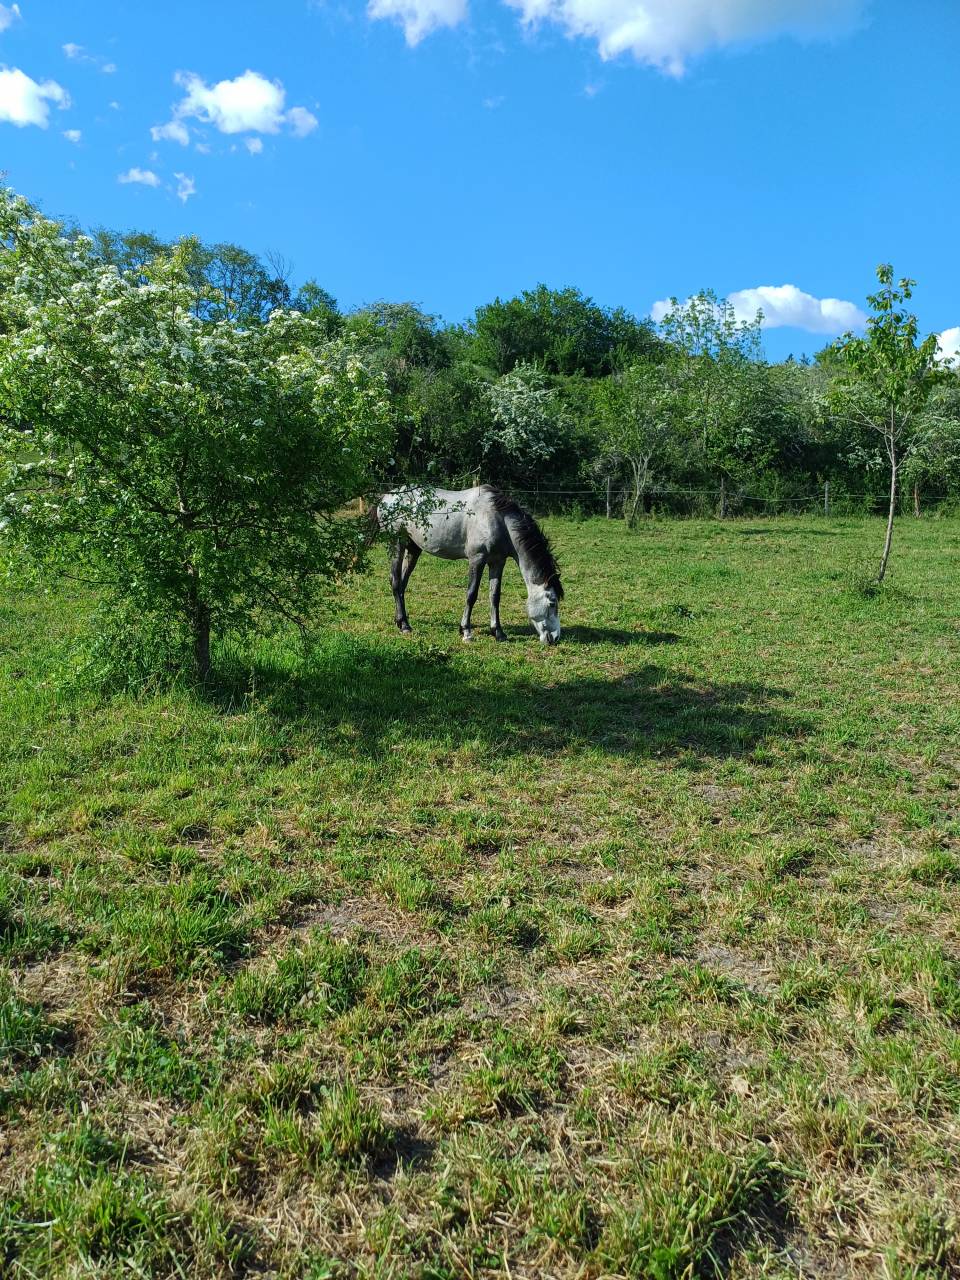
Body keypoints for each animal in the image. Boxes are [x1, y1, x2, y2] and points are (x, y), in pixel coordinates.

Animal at [376, 485, 563, 644]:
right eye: (552, 603)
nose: (555, 638)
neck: (497, 519)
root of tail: (387, 497)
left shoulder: (497, 562)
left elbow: (495, 596)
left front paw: (498, 632)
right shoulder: (477, 559)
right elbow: (471, 594)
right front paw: (466, 631)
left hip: (413, 548)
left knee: (402, 584)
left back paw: (400, 621)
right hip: (396, 544)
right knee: (395, 582)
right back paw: (405, 626)